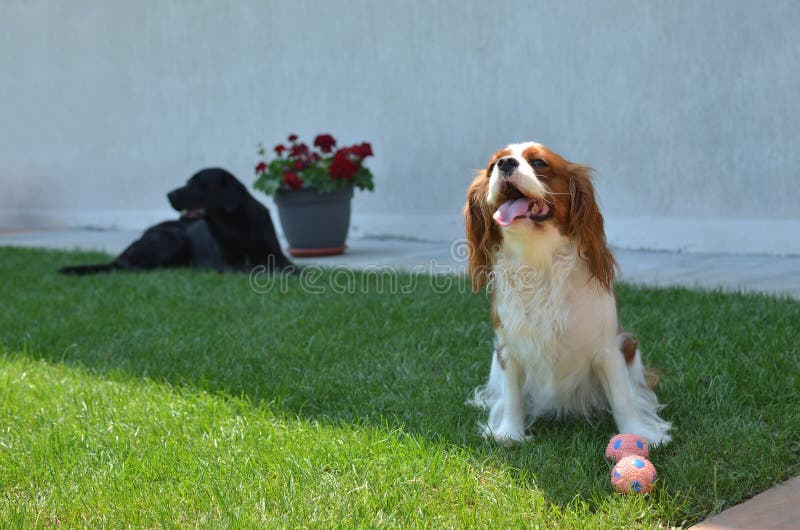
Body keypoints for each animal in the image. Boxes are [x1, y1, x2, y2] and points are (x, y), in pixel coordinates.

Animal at [58, 167, 296, 274]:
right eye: (187, 181)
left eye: (198, 184)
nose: (168, 194)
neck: (236, 225)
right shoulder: (230, 264)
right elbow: (257, 268)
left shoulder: (277, 254)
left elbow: (289, 266)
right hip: (174, 238)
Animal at [462, 142, 668, 444]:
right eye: (492, 167)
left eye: (538, 162)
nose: (505, 164)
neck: (538, 261)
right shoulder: (508, 348)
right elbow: (512, 396)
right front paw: (510, 433)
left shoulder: (608, 349)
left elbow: (622, 397)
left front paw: (638, 433)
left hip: (629, 347)